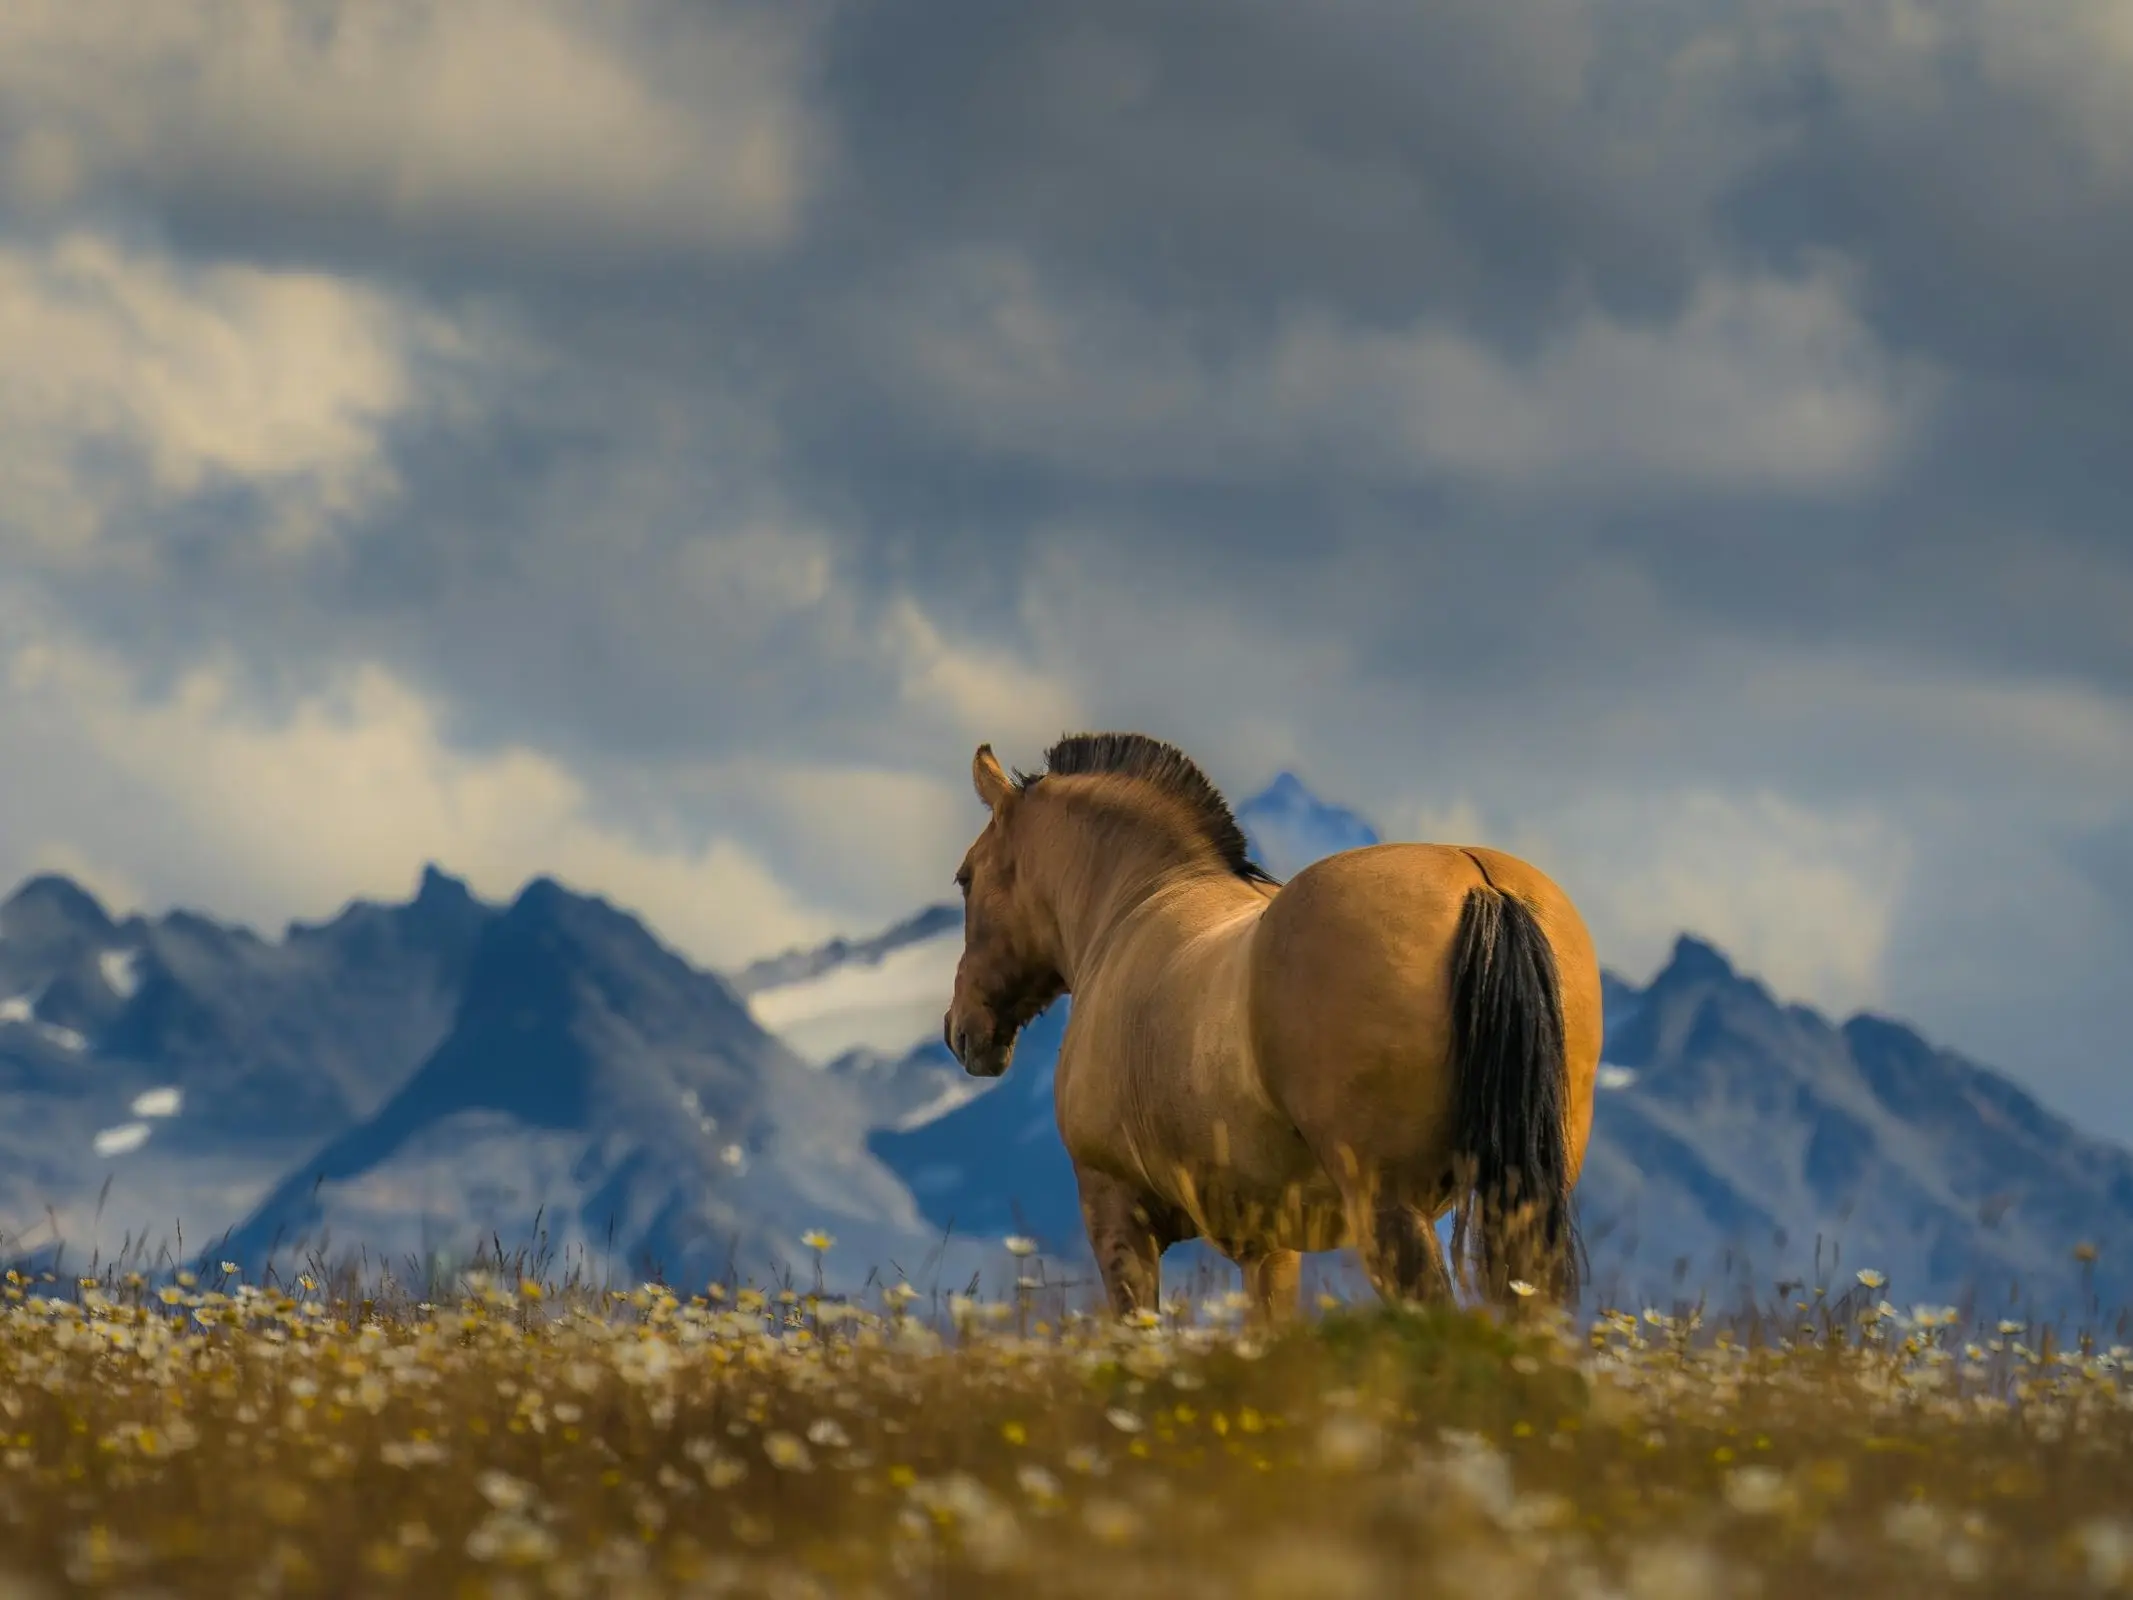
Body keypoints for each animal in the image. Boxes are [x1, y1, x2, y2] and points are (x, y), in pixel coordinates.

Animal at [941, 732, 1601, 1323]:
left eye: (965, 878)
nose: (960, 1030)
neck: (1137, 906)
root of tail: (1476, 878)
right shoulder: (1269, 1248)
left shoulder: (1116, 1212)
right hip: (1517, 1204)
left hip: (1391, 1209)